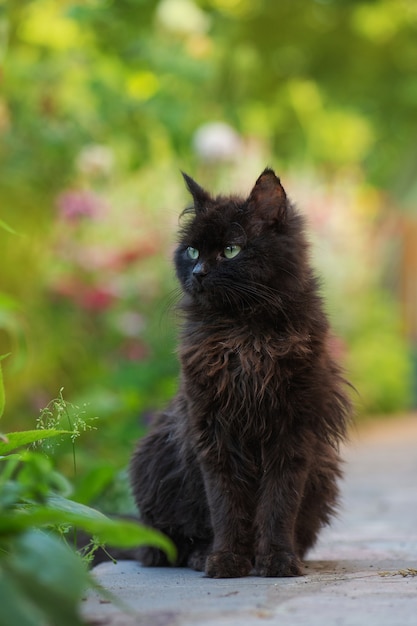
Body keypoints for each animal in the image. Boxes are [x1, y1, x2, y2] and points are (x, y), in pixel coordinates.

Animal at [130, 169, 352, 576]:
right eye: (192, 251)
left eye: (232, 249)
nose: (199, 272)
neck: (245, 335)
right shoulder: (213, 431)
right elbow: (226, 504)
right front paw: (227, 559)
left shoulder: (292, 431)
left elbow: (278, 506)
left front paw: (277, 559)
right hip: (154, 460)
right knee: (165, 544)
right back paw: (200, 556)